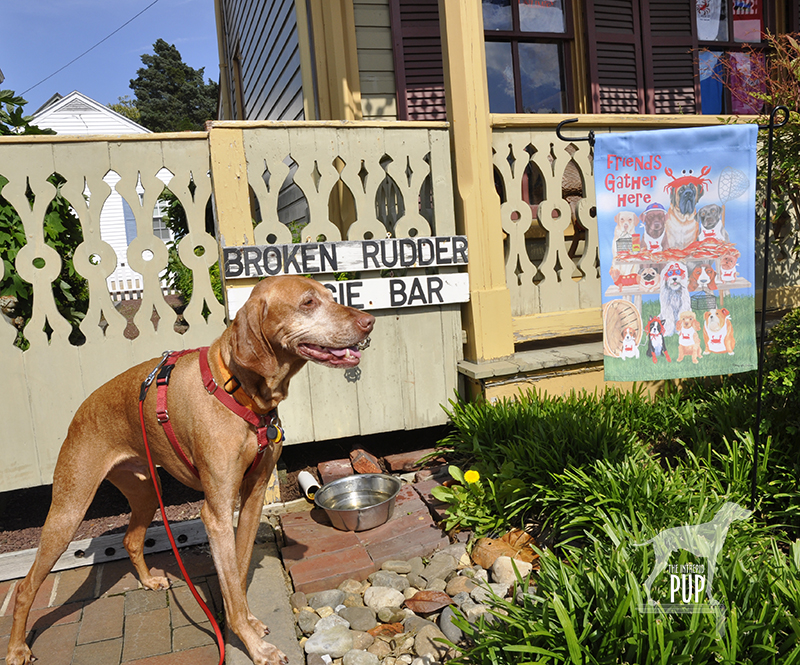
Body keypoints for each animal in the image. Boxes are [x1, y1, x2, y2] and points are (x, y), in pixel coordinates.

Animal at [6, 274, 376, 664]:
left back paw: (149, 580)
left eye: (330, 295)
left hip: (146, 492)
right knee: (25, 586)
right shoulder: (216, 511)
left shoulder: (253, 496)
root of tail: (80, 409)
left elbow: (237, 574)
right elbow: (231, 581)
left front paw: (244, 622)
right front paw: (252, 644)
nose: (369, 321)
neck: (239, 390)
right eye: (308, 302)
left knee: (131, 539)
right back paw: (17, 648)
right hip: (69, 510)